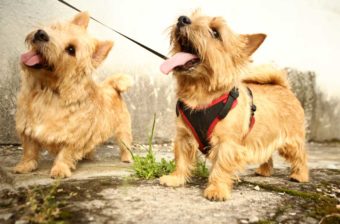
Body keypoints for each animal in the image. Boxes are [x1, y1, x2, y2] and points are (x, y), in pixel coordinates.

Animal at [14, 11, 134, 178]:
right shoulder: (27, 130)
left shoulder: (74, 138)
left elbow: (65, 154)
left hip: (123, 130)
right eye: (55, 28)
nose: (41, 34)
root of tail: (112, 87)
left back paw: (127, 158)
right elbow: (29, 150)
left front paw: (59, 169)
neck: (48, 91)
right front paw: (25, 166)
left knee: (125, 144)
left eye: (71, 50)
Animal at [159, 10, 308, 200]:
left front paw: (216, 189)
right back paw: (264, 170)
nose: (182, 19)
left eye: (215, 32)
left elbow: (221, 166)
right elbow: (181, 159)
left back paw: (300, 175)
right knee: (267, 153)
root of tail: (283, 86)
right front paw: (176, 178)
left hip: (290, 141)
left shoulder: (227, 143)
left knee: (301, 154)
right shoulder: (183, 137)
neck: (200, 95)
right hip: (264, 136)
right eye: (193, 15)